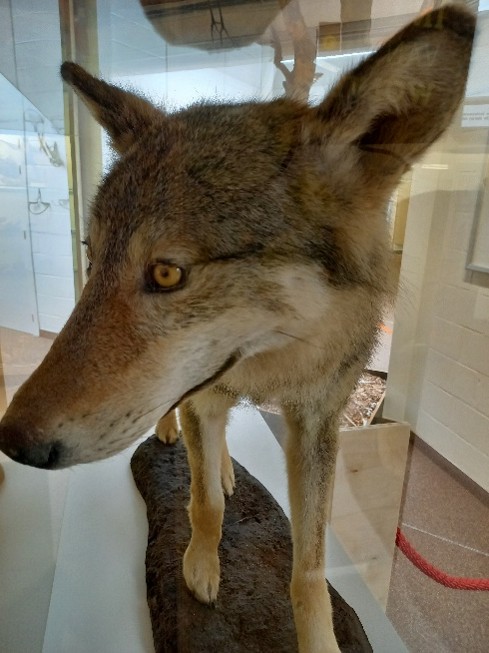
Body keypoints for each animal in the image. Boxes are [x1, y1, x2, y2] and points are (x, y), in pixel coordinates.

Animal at [0, 6, 474, 652]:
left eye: (167, 273)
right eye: (91, 258)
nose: (11, 440)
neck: (271, 363)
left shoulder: (316, 423)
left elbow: (311, 565)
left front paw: (319, 639)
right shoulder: (204, 397)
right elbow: (202, 505)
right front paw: (200, 568)